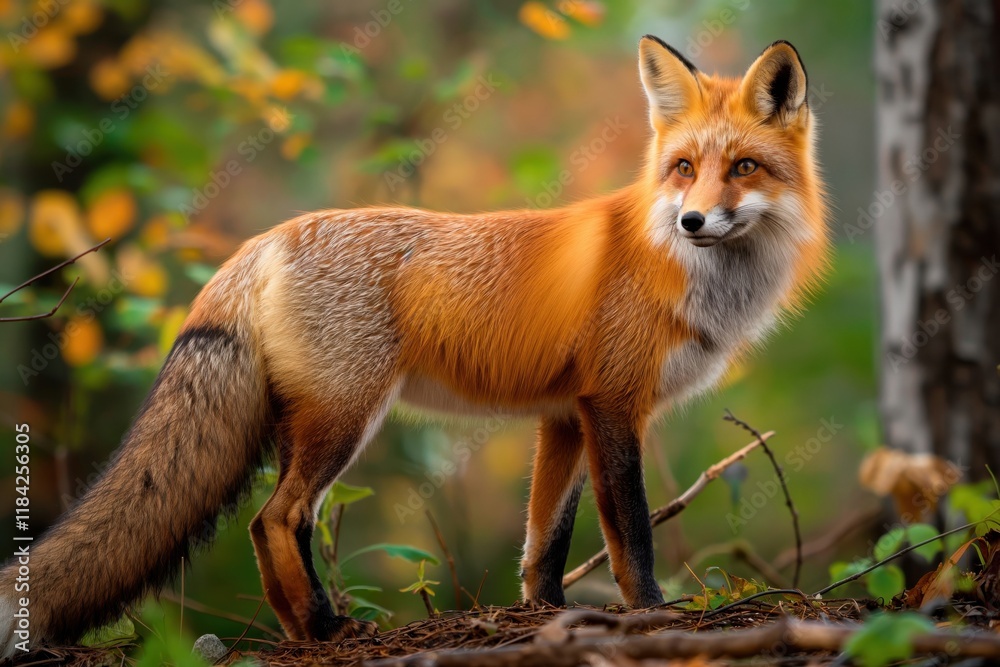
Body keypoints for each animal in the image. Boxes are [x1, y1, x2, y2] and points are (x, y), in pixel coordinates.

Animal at [0, 36, 828, 657]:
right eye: (684, 168)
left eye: (743, 167)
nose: (692, 220)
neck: (677, 268)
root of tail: (259, 242)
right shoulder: (614, 405)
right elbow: (631, 530)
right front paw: (651, 612)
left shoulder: (565, 414)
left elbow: (544, 542)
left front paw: (547, 616)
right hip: (345, 416)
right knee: (277, 516)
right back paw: (328, 627)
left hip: (313, 420)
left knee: (272, 524)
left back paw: (300, 630)